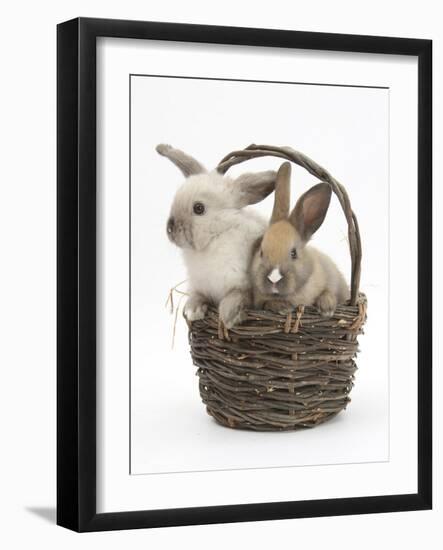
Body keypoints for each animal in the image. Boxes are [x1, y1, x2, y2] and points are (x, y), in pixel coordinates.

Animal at [157, 144, 278, 330]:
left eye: (199, 208)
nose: (170, 229)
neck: (216, 237)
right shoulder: (201, 286)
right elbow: (197, 296)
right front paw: (192, 311)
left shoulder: (242, 285)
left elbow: (237, 296)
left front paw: (228, 317)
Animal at [250, 162, 350, 316]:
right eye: (261, 252)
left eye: (294, 253)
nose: (274, 278)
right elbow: (266, 304)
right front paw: (282, 307)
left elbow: (328, 291)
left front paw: (326, 307)